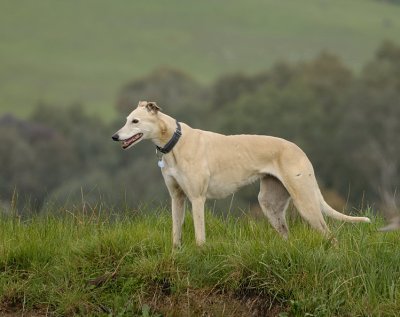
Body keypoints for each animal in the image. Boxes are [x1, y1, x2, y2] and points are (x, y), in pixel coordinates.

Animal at [111, 101, 370, 247]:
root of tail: (300, 151)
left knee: (331, 237)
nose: (114, 136)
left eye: (135, 121)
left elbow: (200, 236)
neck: (175, 142)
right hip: (270, 205)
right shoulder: (177, 198)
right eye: (126, 120)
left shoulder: (197, 199)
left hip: (305, 203)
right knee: (288, 237)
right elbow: (176, 235)